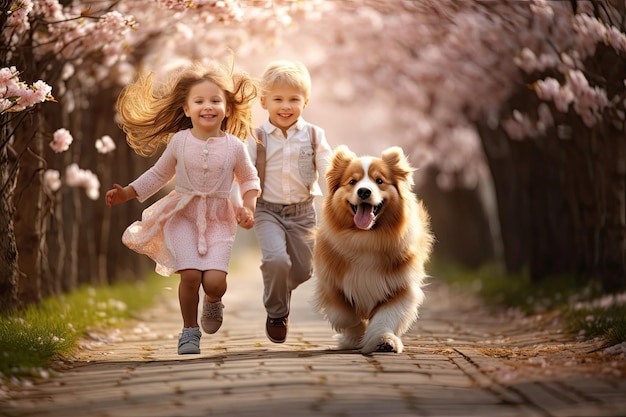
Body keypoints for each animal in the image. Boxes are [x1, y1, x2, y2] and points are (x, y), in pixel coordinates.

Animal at [314, 145, 432, 352]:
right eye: (352, 181)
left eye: (379, 181)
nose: (363, 192)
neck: (367, 238)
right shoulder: (332, 284)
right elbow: (345, 315)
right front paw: (353, 338)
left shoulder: (401, 286)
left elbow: (386, 317)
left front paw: (383, 340)